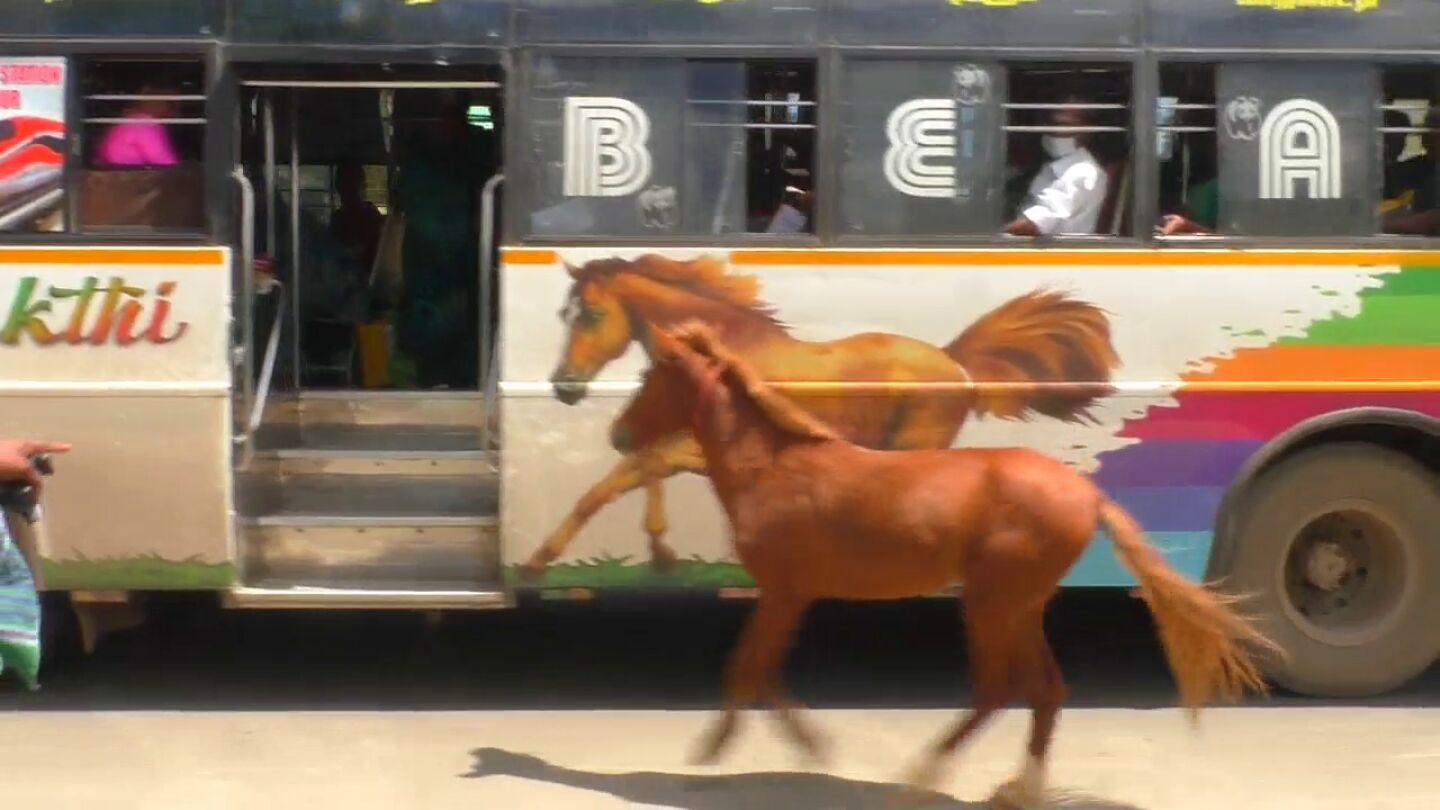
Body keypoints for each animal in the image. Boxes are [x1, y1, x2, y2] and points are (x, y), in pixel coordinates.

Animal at [525, 254, 1120, 579]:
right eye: (562, 313)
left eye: (592, 314)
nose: (564, 386)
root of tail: (955, 362)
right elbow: (626, 477)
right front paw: (658, 552)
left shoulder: (703, 447)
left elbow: (619, 480)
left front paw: (541, 561)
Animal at [611, 322, 1279, 809]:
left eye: (650, 375)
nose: (619, 434)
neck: (772, 468)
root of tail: (1089, 496)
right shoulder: (790, 594)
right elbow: (760, 670)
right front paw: (792, 743)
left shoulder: (782, 590)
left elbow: (749, 668)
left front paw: (722, 749)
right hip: (1022, 604)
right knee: (1046, 690)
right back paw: (1020, 789)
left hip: (989, 600)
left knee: (998, 690)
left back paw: (925, 772)